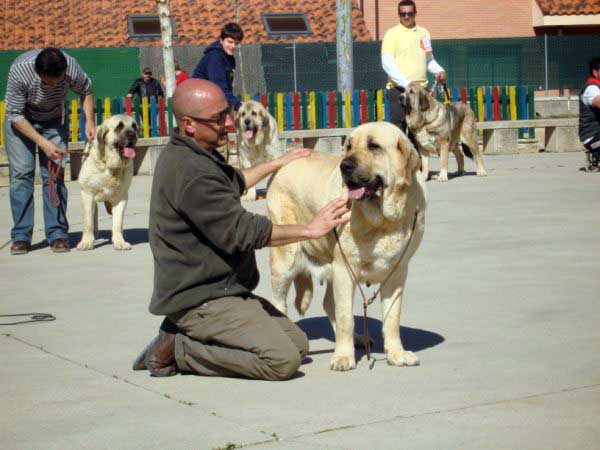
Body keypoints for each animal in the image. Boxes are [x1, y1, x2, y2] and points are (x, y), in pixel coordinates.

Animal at [76, 114, 138, 251]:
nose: (133, 135)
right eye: (119, 126)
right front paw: (87, 242)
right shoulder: (87, 194)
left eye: (134, 126)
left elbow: (118, 222)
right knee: (94, 215)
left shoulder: (120, 197)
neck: (110, 165)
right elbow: (88, 221)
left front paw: (119, 241)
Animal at [268, 121, 426, 370]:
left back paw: (358, 339)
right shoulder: (344, 270)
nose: (345, 165)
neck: (383, 221)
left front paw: (397, 354)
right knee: (279, 303)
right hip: (285, 261)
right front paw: (343, 357)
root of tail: (282, 164)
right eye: (349, 146)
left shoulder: (397, 274)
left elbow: (392, 318)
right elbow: (346, 318)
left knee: (328, 303)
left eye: (374, 146)